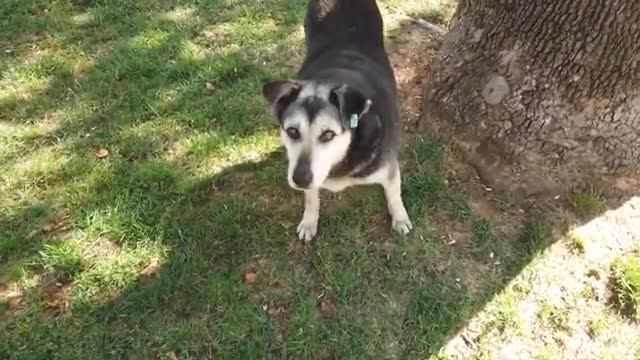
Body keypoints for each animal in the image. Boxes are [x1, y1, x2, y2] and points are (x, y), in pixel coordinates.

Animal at [262, 0, 412, 242]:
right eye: (292, 131)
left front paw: (400, 218)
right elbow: (311, 198)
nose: (300, 180)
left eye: (328, 134)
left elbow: (394, 194)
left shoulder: (389, 168)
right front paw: (309, 221)